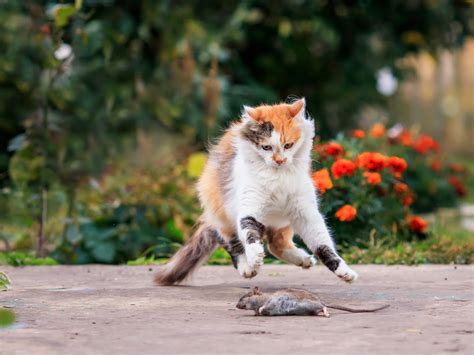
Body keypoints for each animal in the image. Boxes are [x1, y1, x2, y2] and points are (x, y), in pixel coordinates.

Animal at [154, 98, 358, 286]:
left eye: (288, 145)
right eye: (266, 147)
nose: (279, 160)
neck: (278, 177)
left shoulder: (305, 213)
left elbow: (323, 244)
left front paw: (344, 271)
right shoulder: (248, 207)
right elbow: (249, 233)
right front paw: (255, 256)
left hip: (283, 220)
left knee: (276, 244)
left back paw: (304, 259)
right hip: (221, 214)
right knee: (232, 243)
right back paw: (247, 268)